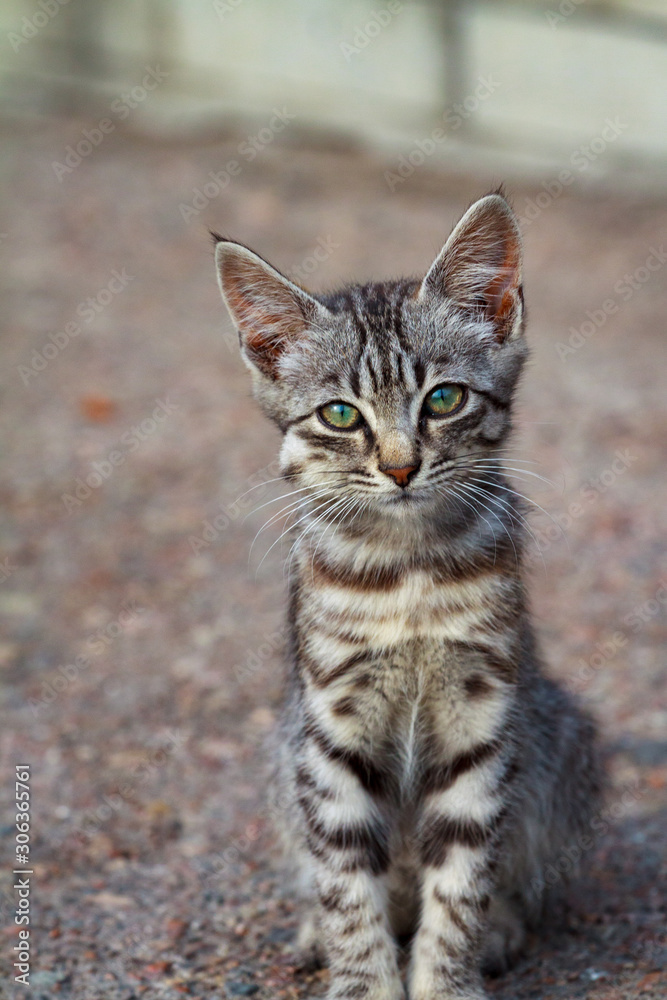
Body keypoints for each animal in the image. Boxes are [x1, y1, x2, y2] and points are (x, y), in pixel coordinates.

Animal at [214, 195, 600, 1000]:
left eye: (443, 399)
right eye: (339, 414)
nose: (399, 468)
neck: (408, 573)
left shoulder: (483, 717)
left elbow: (461, 881)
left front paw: (446, 980)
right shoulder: (329, 729)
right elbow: (344, 881)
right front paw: (362, 979)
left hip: (560, 738)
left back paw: (502, 929)